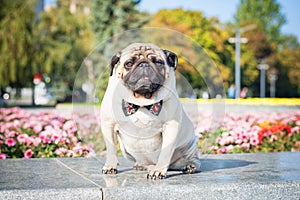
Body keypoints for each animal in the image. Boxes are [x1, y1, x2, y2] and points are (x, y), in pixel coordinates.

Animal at [101, 42, 202, 180]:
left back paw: (189, 166)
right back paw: (141, 165)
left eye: (158, 62)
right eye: (129, 63)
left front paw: (158, 171)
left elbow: (165, 153)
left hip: (190, 146)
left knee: (193, 160)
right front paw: (110, 166)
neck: (142, 103)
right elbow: (111, 149)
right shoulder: (108, 124)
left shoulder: (171, 127)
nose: (144, 64)